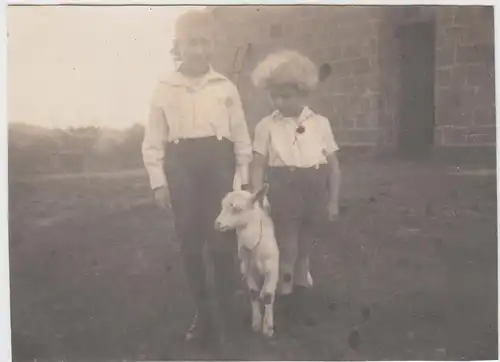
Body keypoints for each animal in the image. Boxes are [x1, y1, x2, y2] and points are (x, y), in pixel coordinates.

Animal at [213, 185, 280, 338]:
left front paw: (268, 328)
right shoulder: (248, 269)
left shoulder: (272, 269)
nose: (217, 224)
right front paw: (256, 323)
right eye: (222, 206)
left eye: (238, 208)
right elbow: (253, 293)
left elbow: (268, 295)